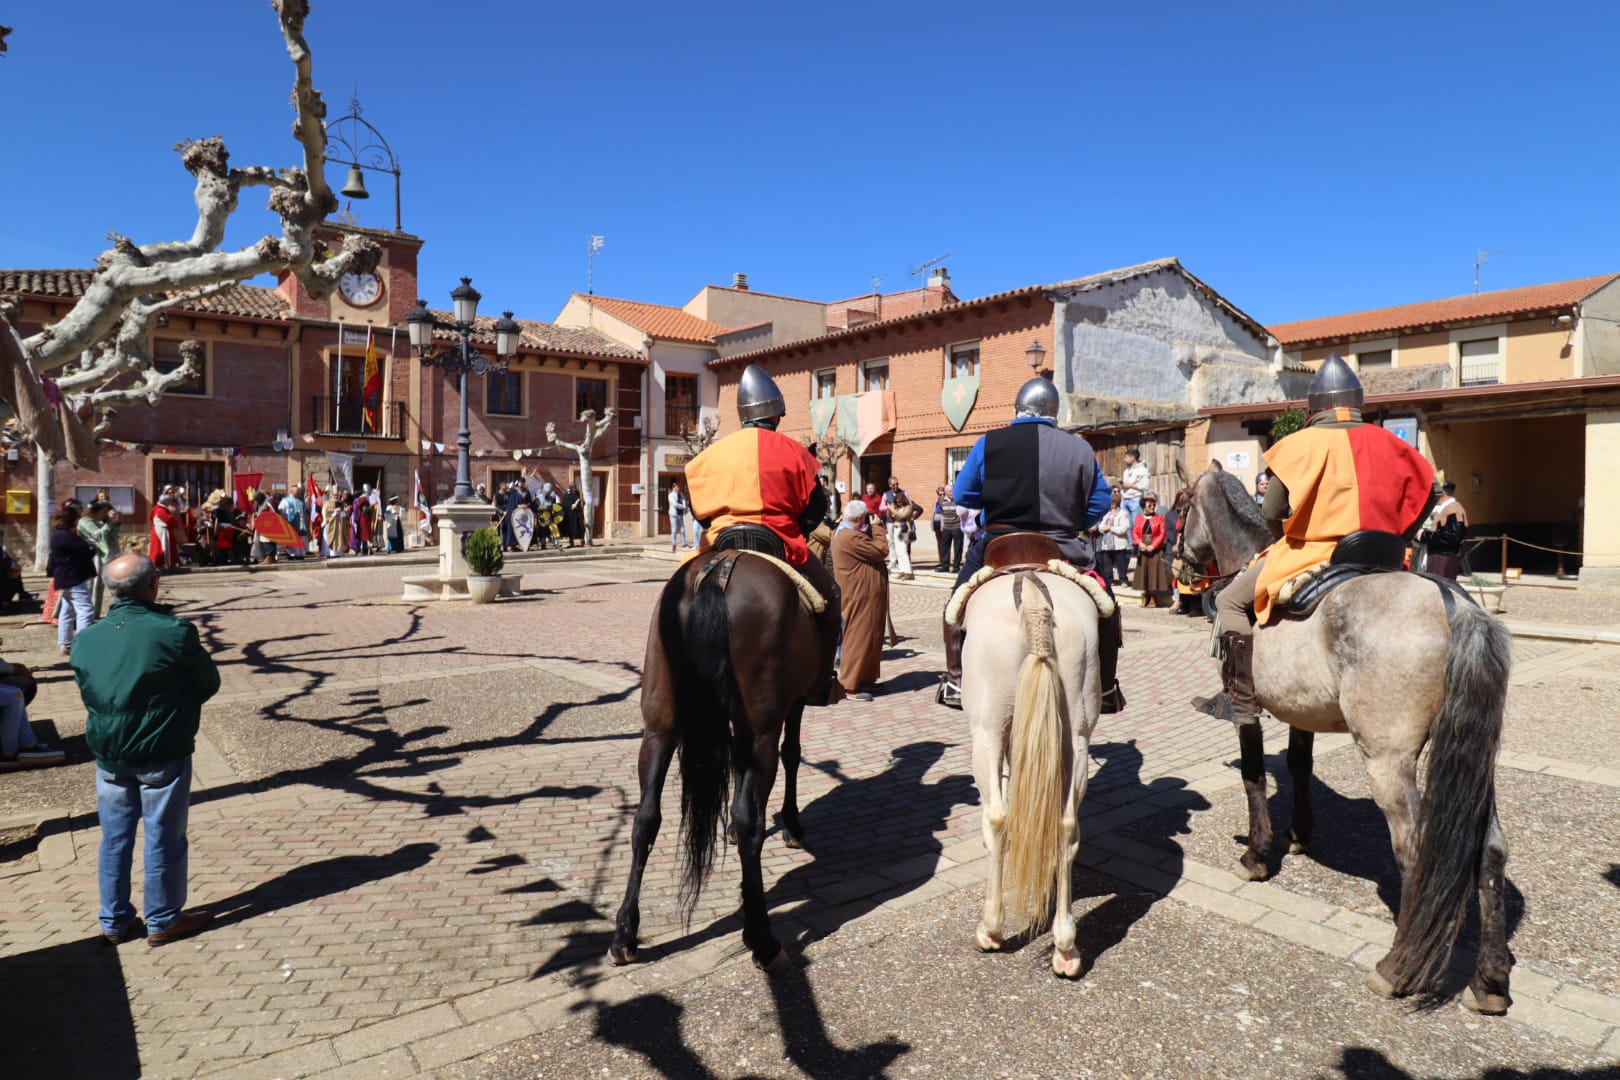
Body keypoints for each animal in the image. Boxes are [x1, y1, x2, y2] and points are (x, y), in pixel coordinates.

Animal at [609, 553, 835, 977]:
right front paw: (792, 825)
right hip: (762, 728)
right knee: (751, 821)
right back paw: (762, 939)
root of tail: (720, 568)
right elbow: (792, 754)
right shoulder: (792, 703)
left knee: (645, 817)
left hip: (660, 723)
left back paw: (625, 934)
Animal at [952, 566, 1108, 977]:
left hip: (986, 732)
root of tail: (1036, 601)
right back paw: (1066, 946)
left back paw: (991, 928)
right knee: (1066, 825)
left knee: (997, 818)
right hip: (1076, 736)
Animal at [1172, 469, 1509, 1016]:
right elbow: (1300, 766)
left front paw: (1258, 855)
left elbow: (1252, 776)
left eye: (1180, 509)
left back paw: (1397, 968)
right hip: (1476, 761)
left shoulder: (1249, 713)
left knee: (1415, 848)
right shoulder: (1300, 712)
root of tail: (1454, 606)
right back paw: (1490, 981)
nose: (1178, 563)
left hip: (1387, 760)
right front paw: (1298, 834)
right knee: (1491, 851)